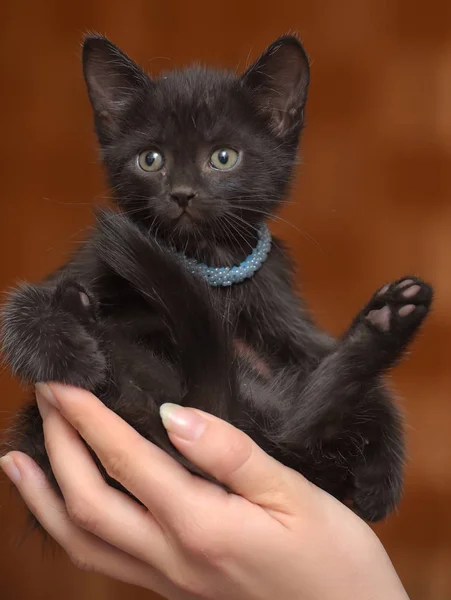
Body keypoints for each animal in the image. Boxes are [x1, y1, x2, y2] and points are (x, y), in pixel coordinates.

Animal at [1, 35, 432, 524]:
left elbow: (346, 372)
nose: (182, 194)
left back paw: (388, 319)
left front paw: (385, 468)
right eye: (150, 159)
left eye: (223, 157)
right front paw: (67, 350)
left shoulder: (282, 311)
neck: (205, 264)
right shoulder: (86, 264)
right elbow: (25, 304)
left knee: (292, 428)